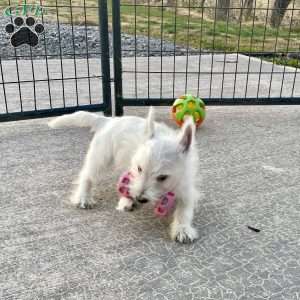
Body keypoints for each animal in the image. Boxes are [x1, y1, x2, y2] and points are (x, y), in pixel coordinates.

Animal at [48, 109, 200, 243]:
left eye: (163, 177)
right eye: (139, 168)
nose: (140, 199)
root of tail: (108, 120)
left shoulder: (186, 188)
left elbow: (184, 211)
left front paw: (182, 229)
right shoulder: (132, 172)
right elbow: (129, 186)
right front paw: (127, 202)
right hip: (100, 158)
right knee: (87, 176)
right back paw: (83, 198)